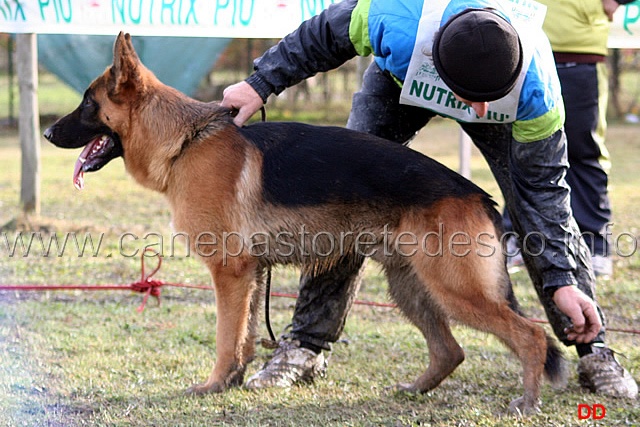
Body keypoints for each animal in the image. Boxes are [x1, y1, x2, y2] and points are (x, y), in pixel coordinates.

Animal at [46, 32, 564, 414]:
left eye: (88, 104)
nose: (48, 131)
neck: (187, 141)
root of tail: (478, 194)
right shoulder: (250, 275)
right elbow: (243, 337)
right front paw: (232, 381)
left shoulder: (230, 273)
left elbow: (224, 337)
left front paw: (213, 384)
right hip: (412, 288)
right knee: (450, 350)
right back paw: (416, 390)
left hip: (456, 290)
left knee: (532, 335)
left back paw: (527, 402)